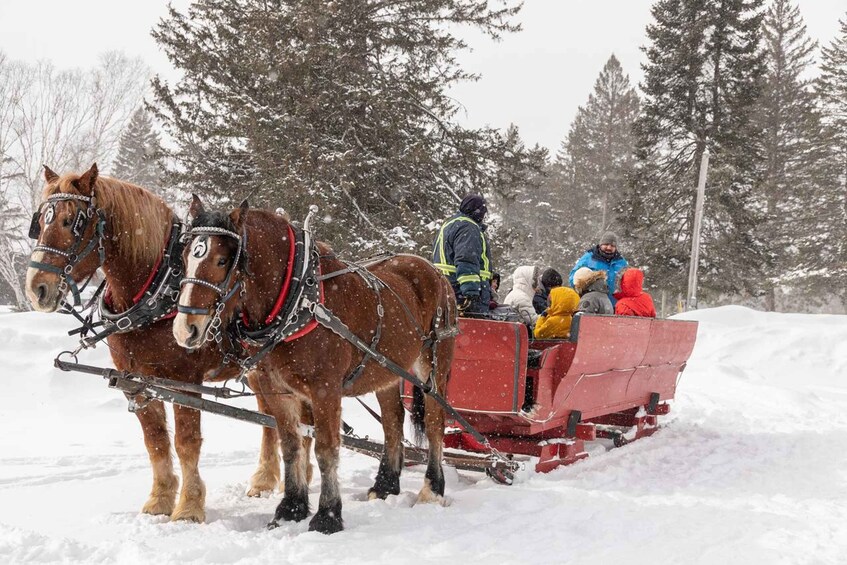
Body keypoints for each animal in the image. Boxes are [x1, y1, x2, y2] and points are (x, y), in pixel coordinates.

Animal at [24, 165, 298, 524]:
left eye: (72, 222)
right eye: (40, 223)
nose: (35, 288)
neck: (157, 290)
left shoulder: (183, 381)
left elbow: (186, 441)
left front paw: (189, 506)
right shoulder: (136, 380)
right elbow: (154, 441)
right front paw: (160, 499)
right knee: (274, 416)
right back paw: (265, 480)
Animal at [173, 198, 460, 532]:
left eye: (221, 261)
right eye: (184, 257)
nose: (185, 329)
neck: (299, 299)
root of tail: (434, 271)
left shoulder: (325, 389)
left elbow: (326, 449)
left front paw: (327, 516)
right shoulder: (277, 389)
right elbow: (290, 445)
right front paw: (290, 508)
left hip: (434, 363)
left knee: (435, 421)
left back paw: (433, 488)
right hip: (387, 369)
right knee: (392, 421)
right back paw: (386, 485)